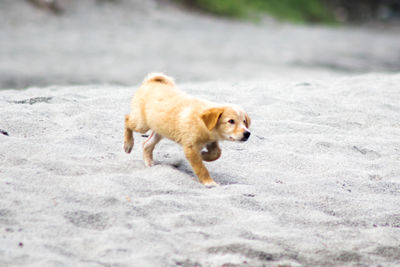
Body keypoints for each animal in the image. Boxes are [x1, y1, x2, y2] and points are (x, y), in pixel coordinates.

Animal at [123, 73, 252, 186]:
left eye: (244, 121)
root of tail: (151, 81)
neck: (203, 123)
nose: (247, 134)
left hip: (160, 129)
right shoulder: (190, 148)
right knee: (127, 120)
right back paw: (128, 144)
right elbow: (201, 168)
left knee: (146, 144)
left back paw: (149, 163)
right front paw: (209, 182)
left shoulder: (211, 140)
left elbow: (217, 153)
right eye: (231, 121)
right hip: (142, 124)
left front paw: (204, 155)